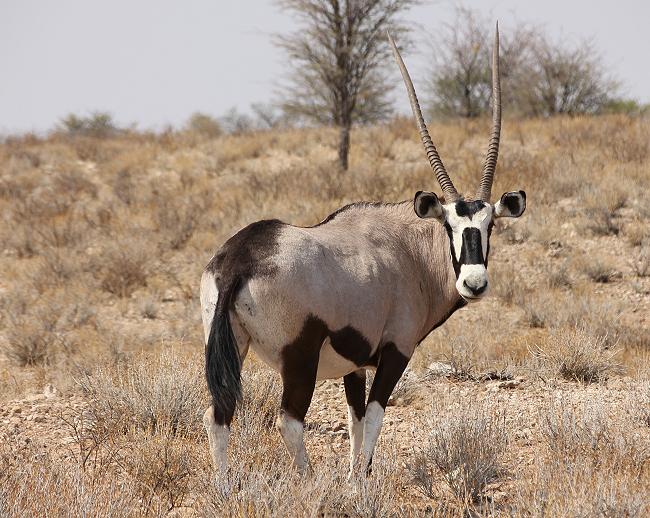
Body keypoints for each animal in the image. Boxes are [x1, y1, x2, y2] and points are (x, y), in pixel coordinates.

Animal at [200, 25, 524, 480]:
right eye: (449, 225)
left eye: (490, 224)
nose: (474, 283)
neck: (409, 251)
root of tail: (237, 258)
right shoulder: (395, 351)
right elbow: (373, 417)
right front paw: (362, 483)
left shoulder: (353, 364)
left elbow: (354, 422)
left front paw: (355, 478)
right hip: (299, 359)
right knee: (289, 420)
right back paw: (308, 482)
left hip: (232, 346)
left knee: (219, 414)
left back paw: (225, 488)